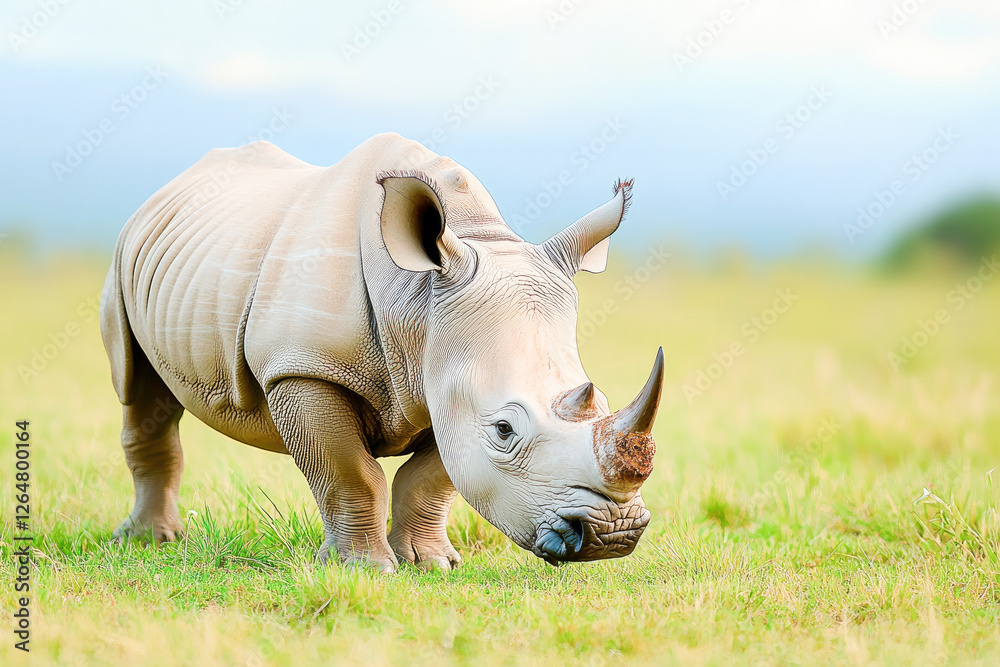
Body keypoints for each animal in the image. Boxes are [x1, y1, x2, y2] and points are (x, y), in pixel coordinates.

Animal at [100, 133, 663, 571]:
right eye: (505, 430)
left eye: (603, 400)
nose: (612, 535)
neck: (417, 303)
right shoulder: (303, 370)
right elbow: (349, 473)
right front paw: (365, 569)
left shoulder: (444, 381)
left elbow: (432, 478)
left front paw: (431, 563)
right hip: (124, 257)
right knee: (138, 387)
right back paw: (150, 541)